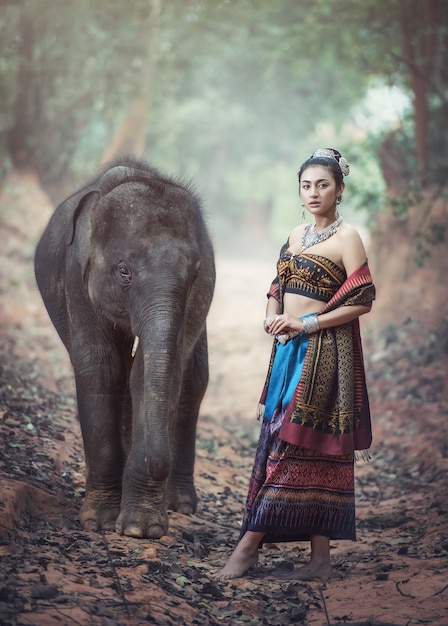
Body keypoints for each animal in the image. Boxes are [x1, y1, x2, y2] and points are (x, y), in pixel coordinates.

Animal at [33, 157, 215, 536]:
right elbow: (101, 371)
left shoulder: (196, 301)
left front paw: (139, 529)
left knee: (193, 381)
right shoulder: (76, 277)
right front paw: (99, 522)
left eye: (194, 276)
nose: (156, 464)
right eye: (123, 271)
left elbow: (155, 376)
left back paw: (180, 505)